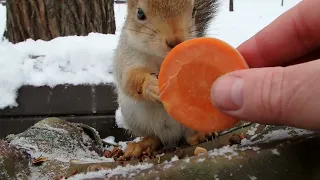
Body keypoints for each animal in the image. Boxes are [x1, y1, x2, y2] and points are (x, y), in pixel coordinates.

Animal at [112, 0, 220, 158]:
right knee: (154, 137)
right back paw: (140, 145)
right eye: (140, 14)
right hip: (133, 117)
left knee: (189, 135)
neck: (161, 57)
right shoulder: (128, 57)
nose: (176, 40)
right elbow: (129, 80)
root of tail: (172, 136)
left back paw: (201, 134)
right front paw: (150, 86)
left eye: (194, 10)